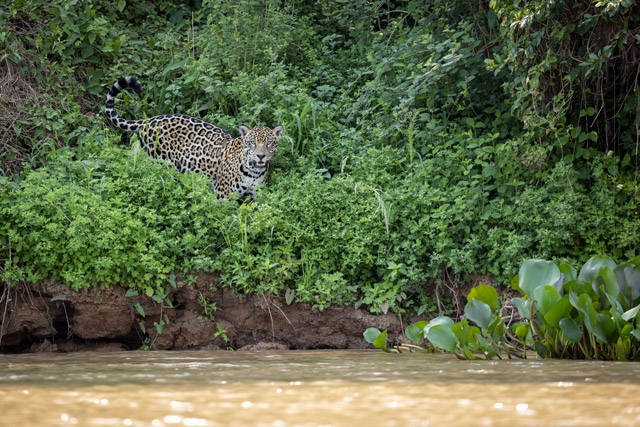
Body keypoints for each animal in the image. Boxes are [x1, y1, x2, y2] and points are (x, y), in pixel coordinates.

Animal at [104, 76, 283, 199]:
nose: (261, 156)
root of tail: (151, 119)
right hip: (164, 165)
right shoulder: (223, 196)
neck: (253, 172)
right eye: (252, 143)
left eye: (269, 144)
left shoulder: (254, 197)